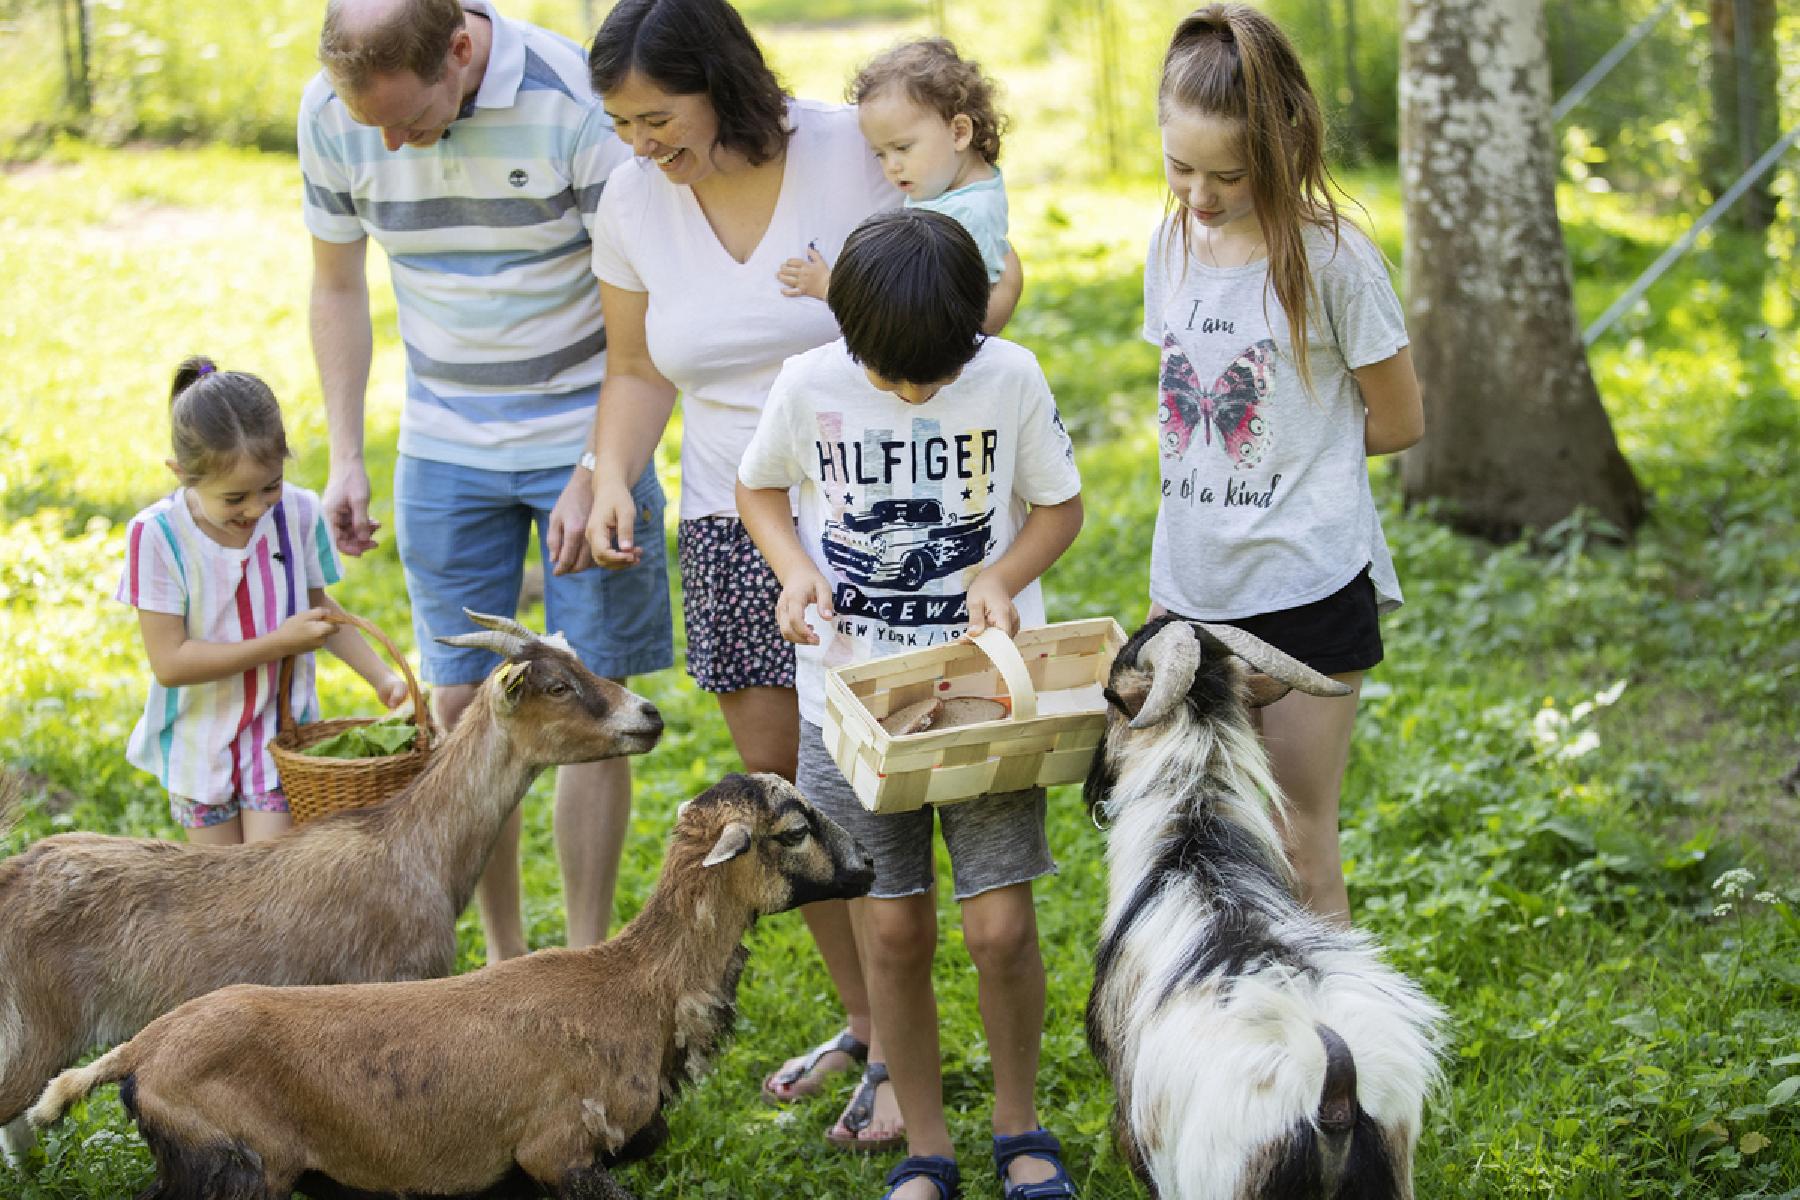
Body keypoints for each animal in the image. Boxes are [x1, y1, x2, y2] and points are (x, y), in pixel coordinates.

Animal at [0, 611, 662, 1165]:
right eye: (557, 687)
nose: (650, 715)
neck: (414, 845)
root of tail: (15, 874)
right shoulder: (396, 982)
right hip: (34, 1029)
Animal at [28, 773, 871, 1194]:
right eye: (796, 830)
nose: (867, 868)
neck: (638, 987)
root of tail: (139, 1051)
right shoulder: (559, 1155)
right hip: (240, 1164)